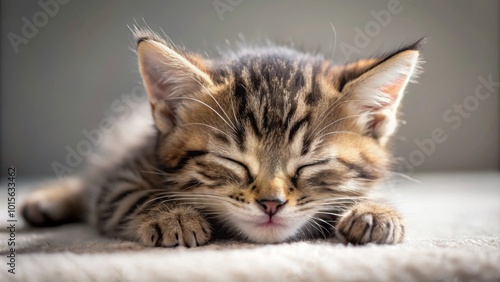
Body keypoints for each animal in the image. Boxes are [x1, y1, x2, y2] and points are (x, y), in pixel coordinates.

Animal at [20, 29, 422, 247]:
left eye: (312, 164)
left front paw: (375, 211)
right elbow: (130, 196)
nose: (272, 204)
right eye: (232, 161)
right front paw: (173, 217)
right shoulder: (121, 176)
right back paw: (45, 201)